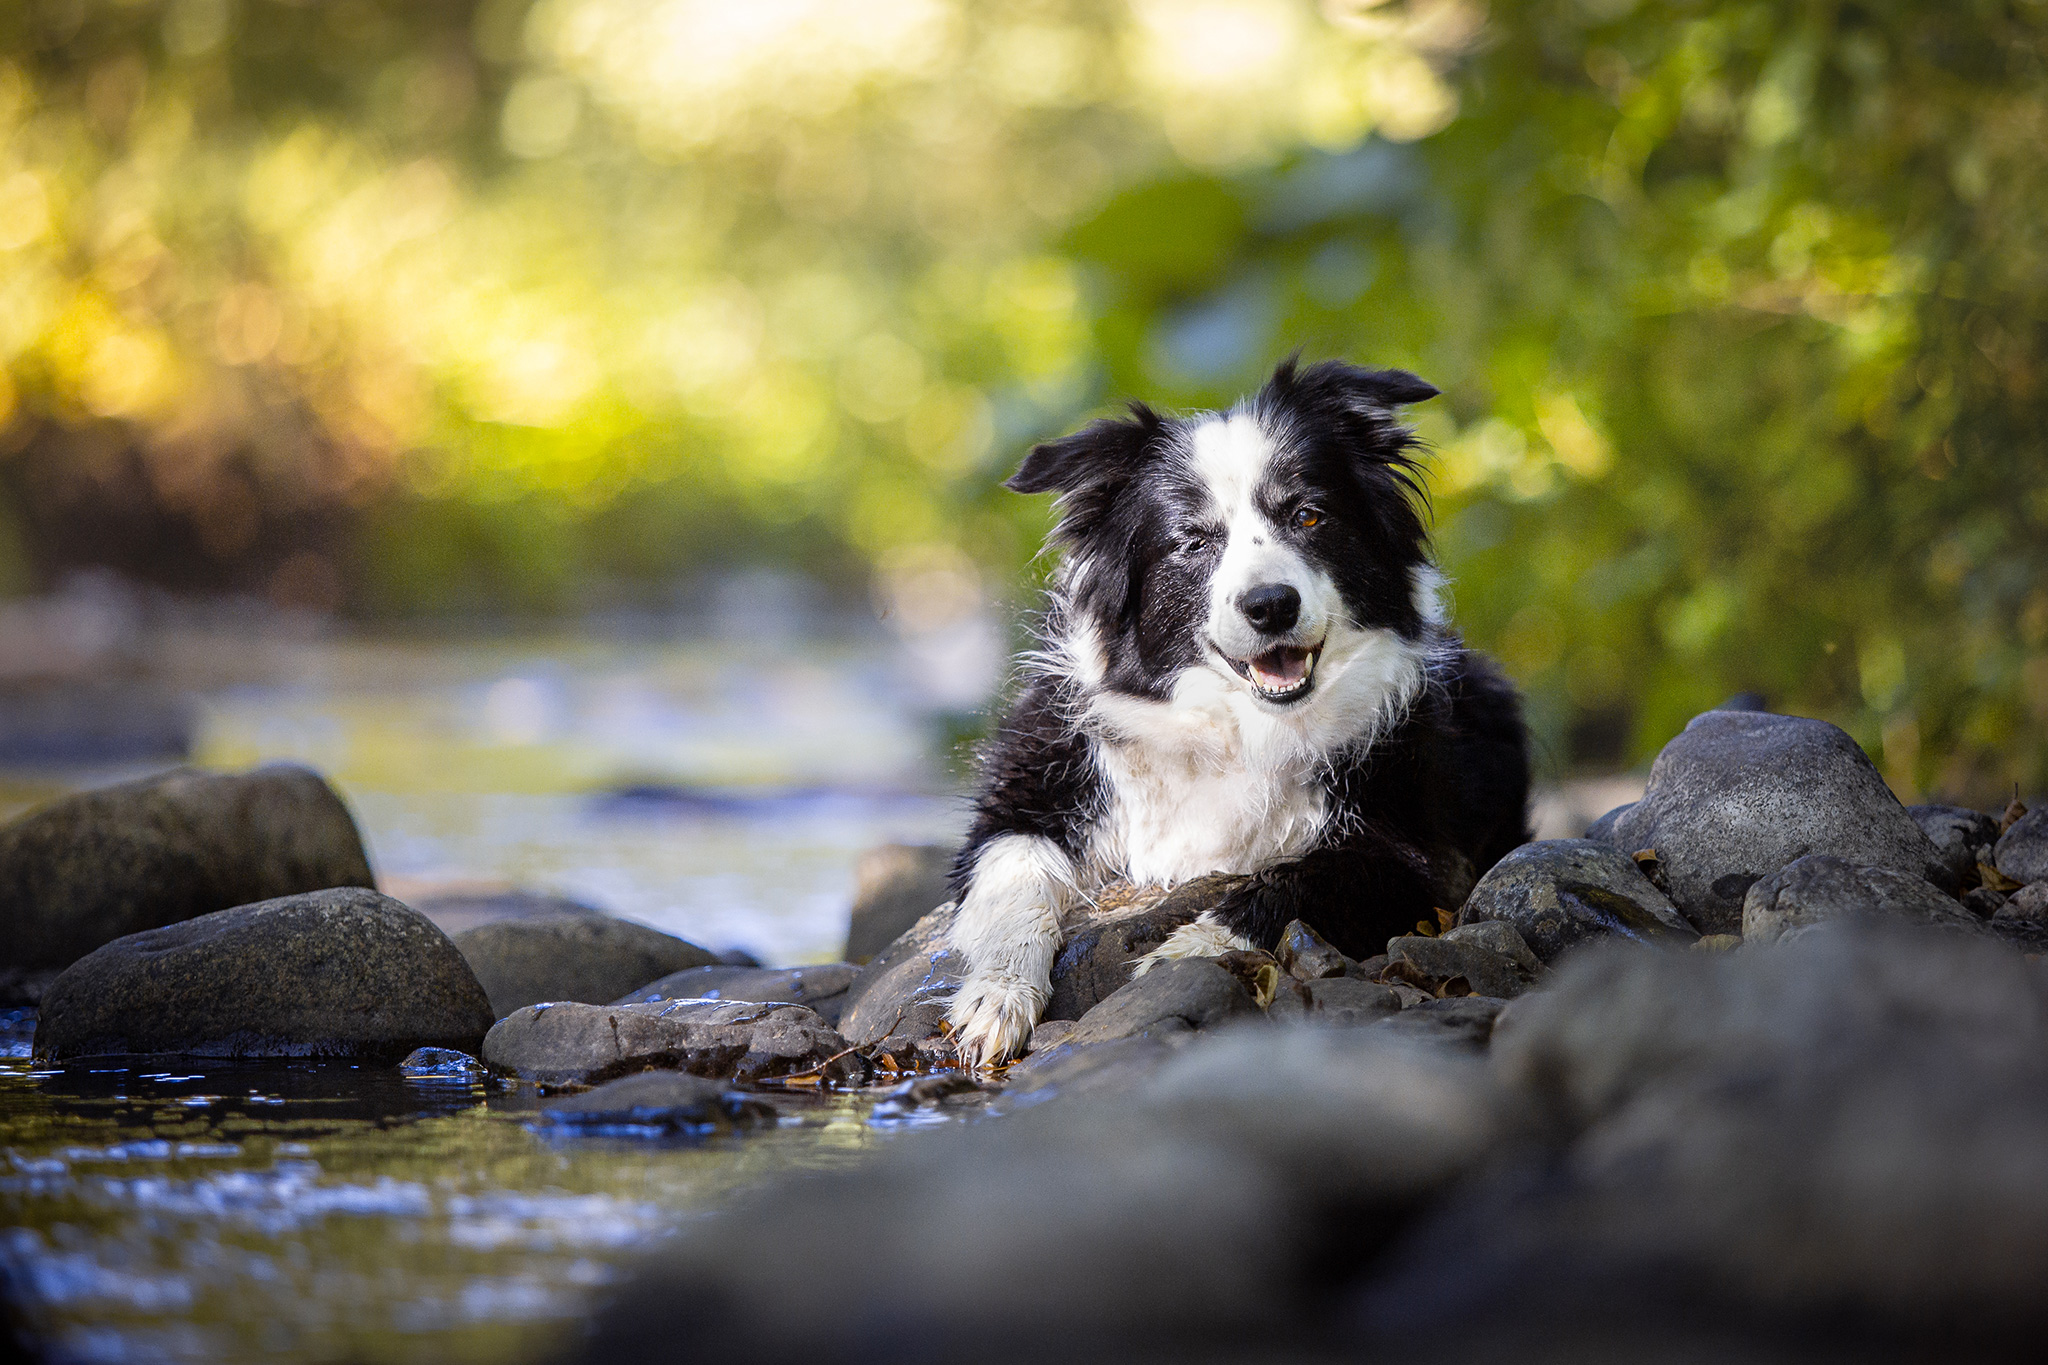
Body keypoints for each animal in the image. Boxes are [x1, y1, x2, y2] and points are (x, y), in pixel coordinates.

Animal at [937, 360, 1523, 1064]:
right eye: (1191, 540)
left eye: (1308, 516)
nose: (1271, 605)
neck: (1234, 728)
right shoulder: (1034, 782)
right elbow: (1011, 876)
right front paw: (994, 998)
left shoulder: (1417, 854)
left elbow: (1293, 884)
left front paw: (1186, 953)